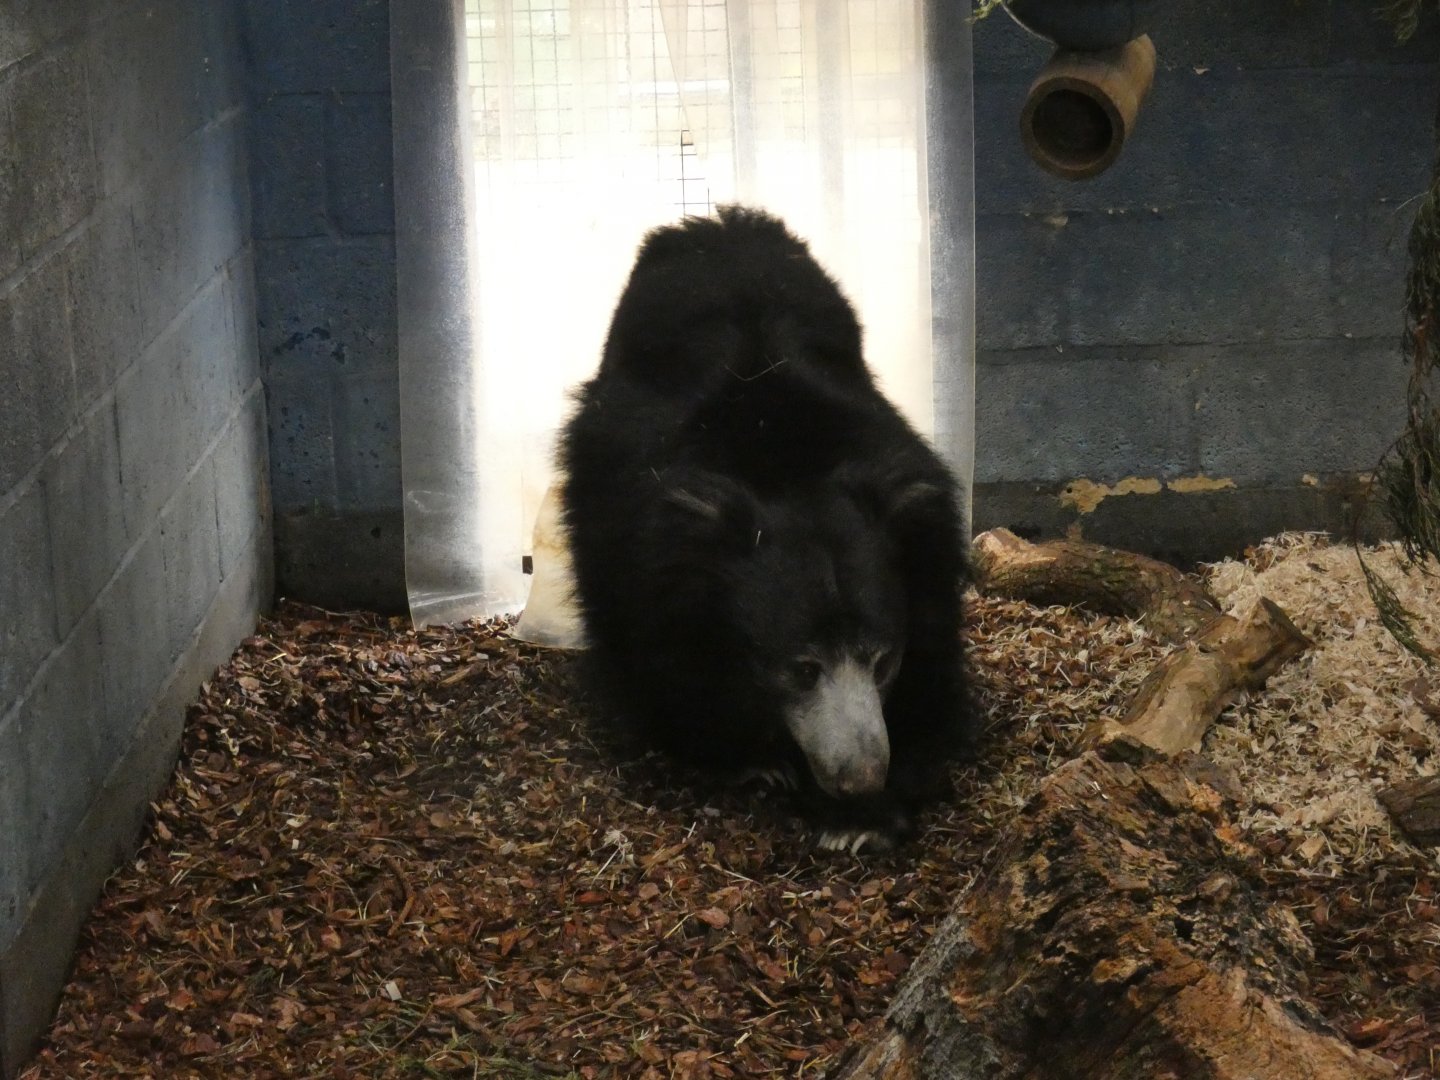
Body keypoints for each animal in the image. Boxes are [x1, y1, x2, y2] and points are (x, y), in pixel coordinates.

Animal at [557, 205, 969, 852]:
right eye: (802, 669)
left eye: (882, 662)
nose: (860, 776)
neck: (779, 458)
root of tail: (719, 221)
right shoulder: (634, 539)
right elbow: (663, 659)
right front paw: (754, 762)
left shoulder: (925, 549)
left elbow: (933, 668)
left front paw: (862, 819)